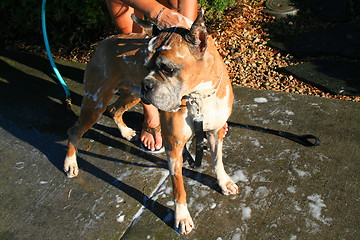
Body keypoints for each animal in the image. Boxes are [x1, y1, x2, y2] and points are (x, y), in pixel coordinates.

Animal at [64, 10, 239, 234]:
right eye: (146, 66)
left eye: (168, 69)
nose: (146, 83)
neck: (199, 95)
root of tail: (105, 40)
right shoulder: (174, 147)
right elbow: (178, 187)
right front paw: (182, 217)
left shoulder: (215, 133)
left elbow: (218, 162)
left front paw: (223, 182)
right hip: (95, 104)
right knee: (74, 131)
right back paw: (70, 163)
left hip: (131, 95)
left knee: (114, 110)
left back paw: (125, 132)